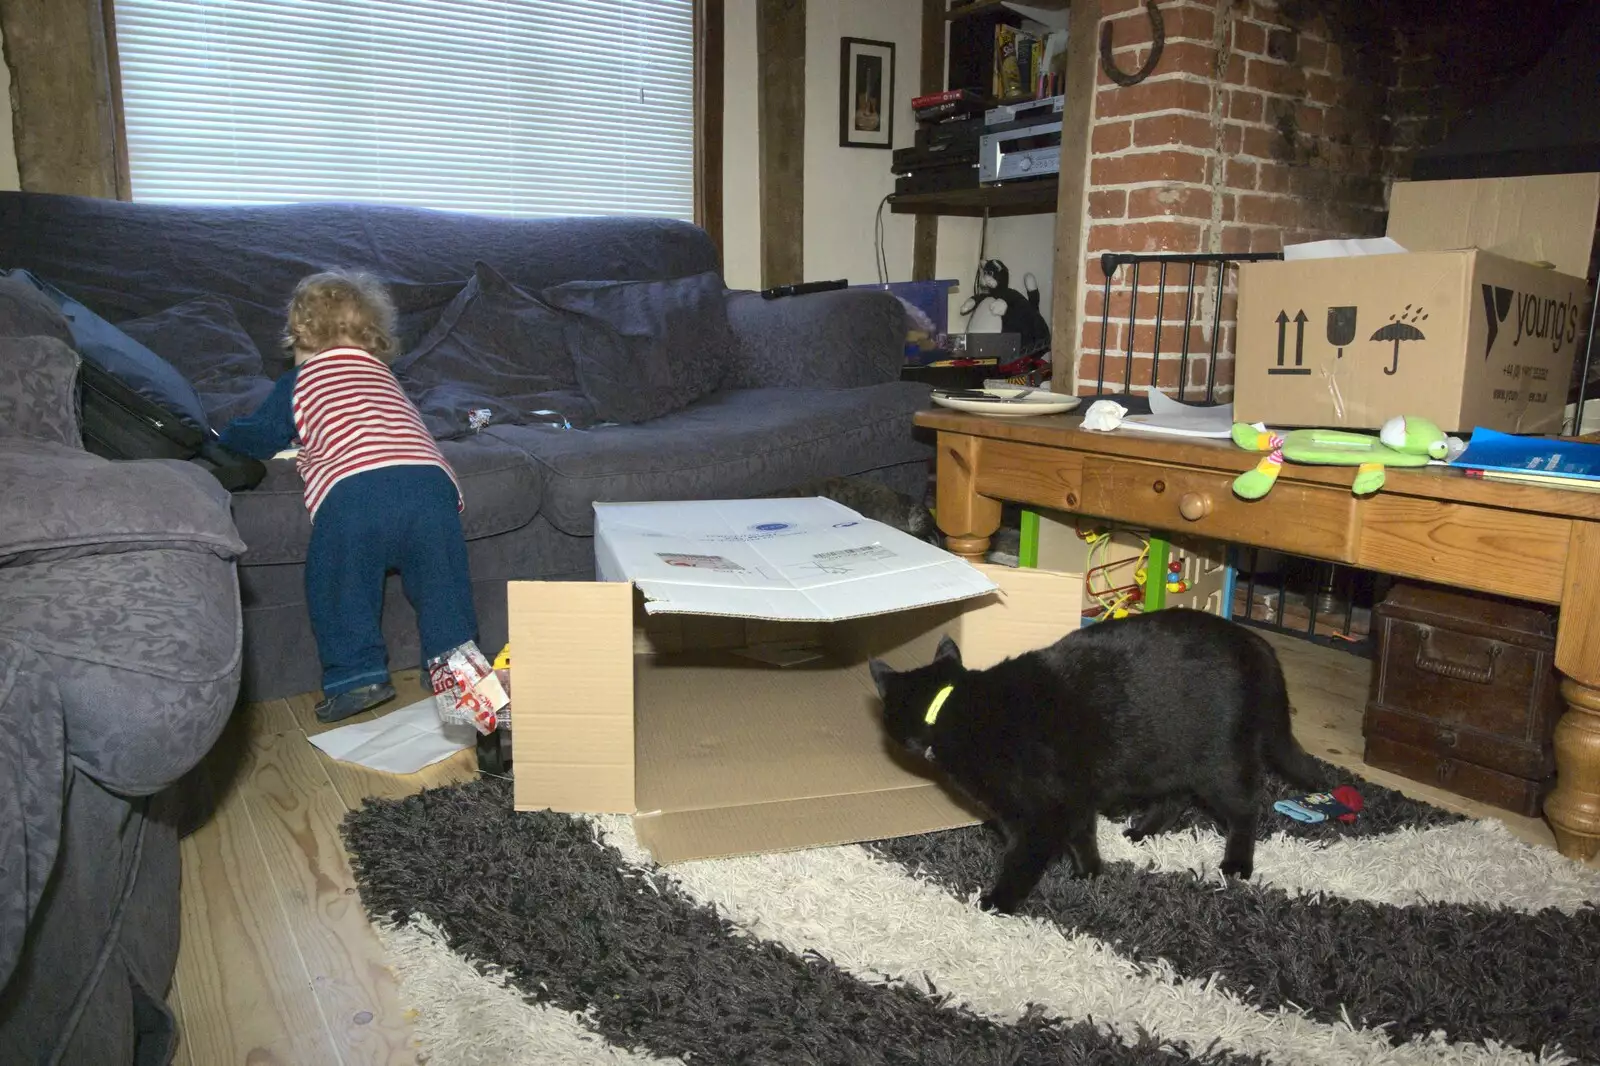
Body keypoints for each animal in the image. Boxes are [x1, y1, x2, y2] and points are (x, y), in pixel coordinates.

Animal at [876, 605, 1324, 915]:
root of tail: (1254, 642)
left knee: (1247, 808)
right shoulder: (1073, 798)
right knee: (1177, 798)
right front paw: (1089, 872)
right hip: (1163, 760)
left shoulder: (1041, 814)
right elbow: (1083, 835)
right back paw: (1142, 831)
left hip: (1218, 763)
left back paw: (1236, 865)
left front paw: (998, 902)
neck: (954, 705)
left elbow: (1023, 860)